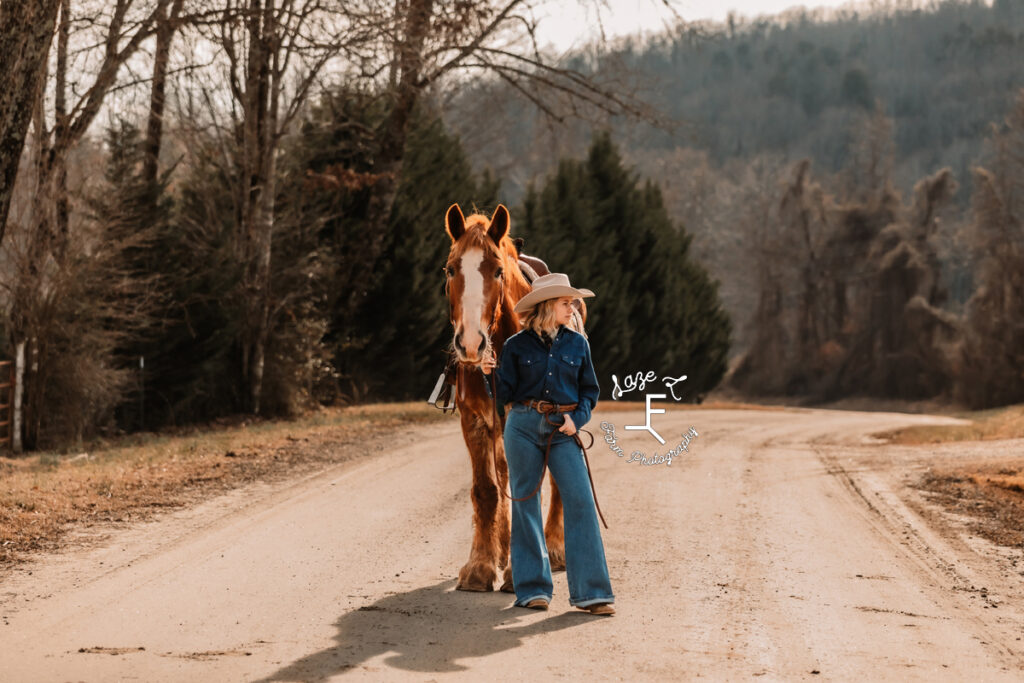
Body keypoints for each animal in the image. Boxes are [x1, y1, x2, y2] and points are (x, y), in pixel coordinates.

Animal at [440, 202, 585, 593]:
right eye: (450, 269)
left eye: (497, 271)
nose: (470, 344)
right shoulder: (474, 421)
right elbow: (486, 489)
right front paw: (481, 566)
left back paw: (555, 548)